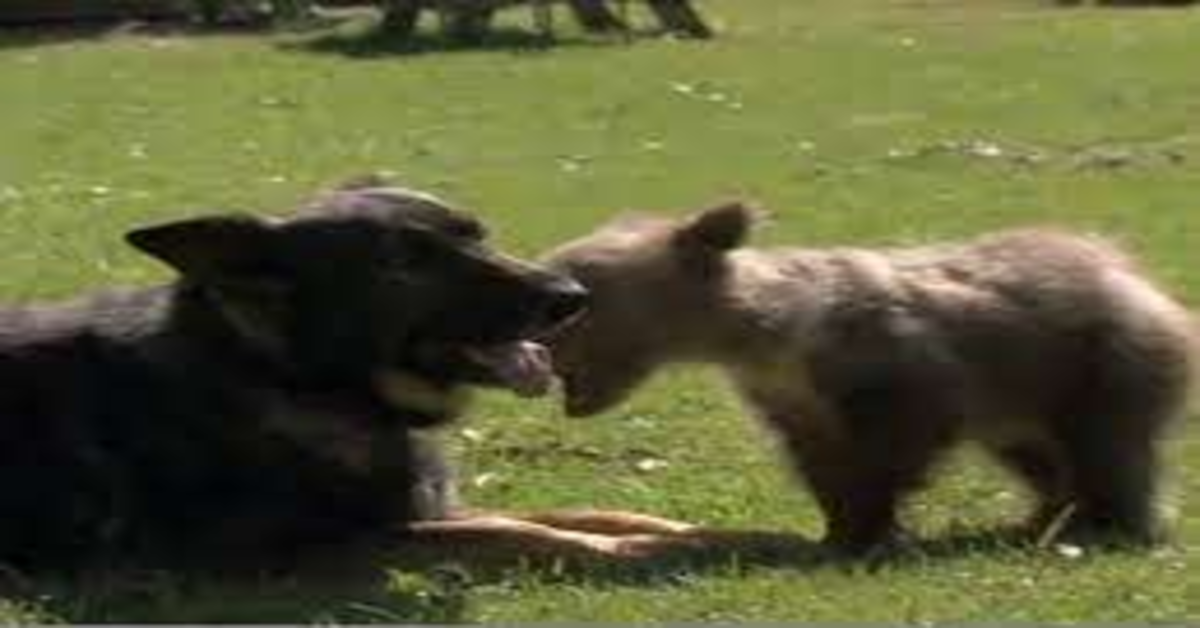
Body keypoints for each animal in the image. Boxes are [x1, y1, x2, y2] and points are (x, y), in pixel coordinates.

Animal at [0, 178, 700, 571]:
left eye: (479, 233)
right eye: (405, 261)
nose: (572, 296)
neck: (291, 376)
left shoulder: (427, 507)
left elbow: (585, 512)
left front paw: (687, 533)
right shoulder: (306, 549)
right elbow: (514, 531)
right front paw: (645, 553)